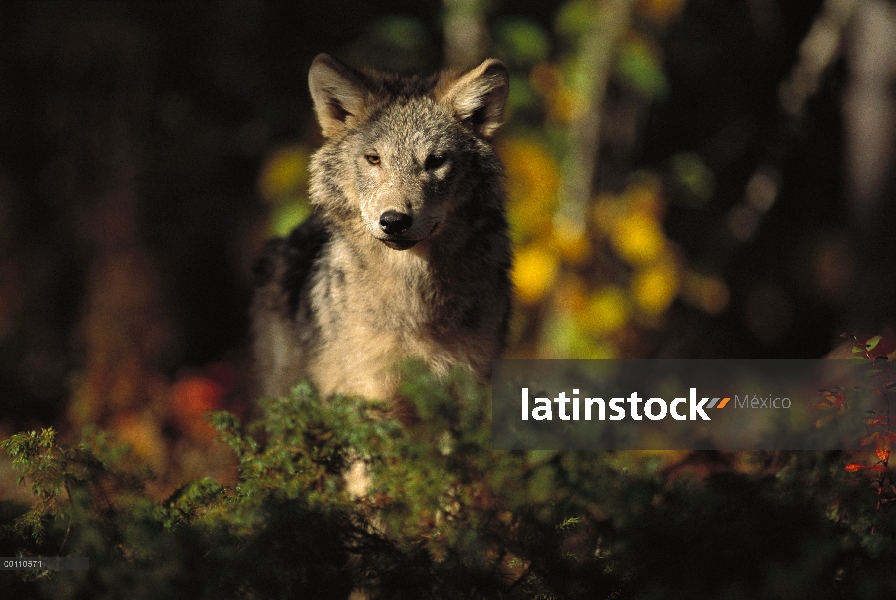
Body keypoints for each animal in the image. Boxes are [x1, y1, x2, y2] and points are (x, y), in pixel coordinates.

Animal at [252, 54, 516, 408]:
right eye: (374, 159)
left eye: (435, 161)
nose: (394, 221)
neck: (414, 300)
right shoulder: (372, 393)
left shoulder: (469, 390)